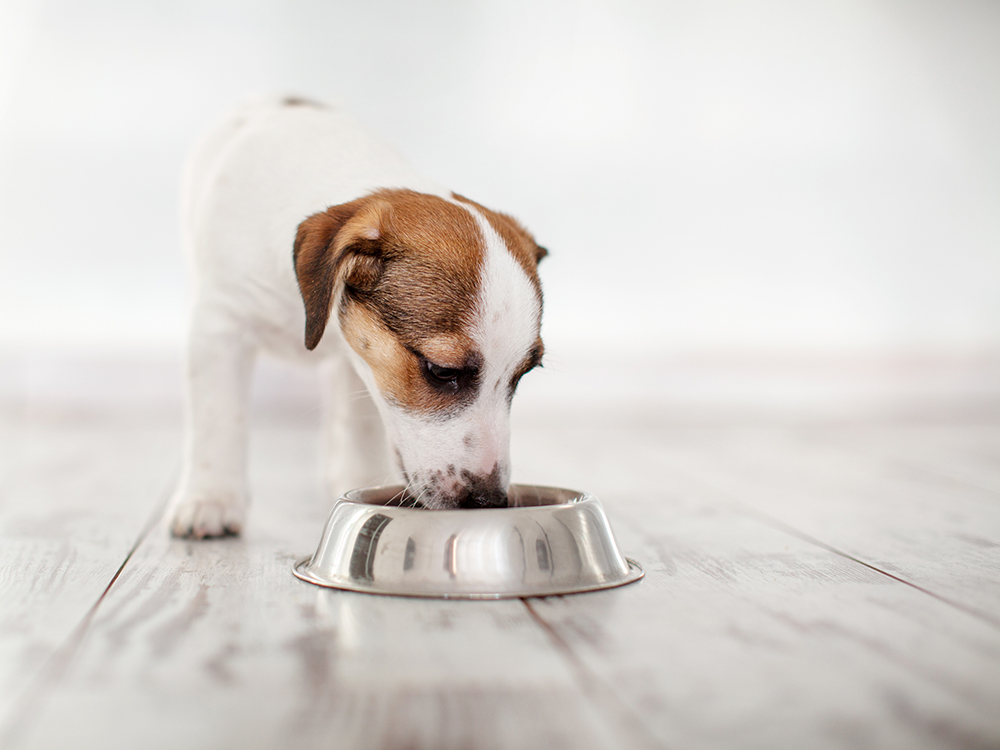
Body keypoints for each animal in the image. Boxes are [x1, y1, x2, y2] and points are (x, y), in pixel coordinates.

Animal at [172, 98, 548, 540]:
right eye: (440, 371)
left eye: (523, 374)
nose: (488, 501)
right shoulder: (221, 326)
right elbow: (218, 419)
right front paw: (210, 497)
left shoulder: (362, 360)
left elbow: (362, 422)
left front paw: (362, 480)